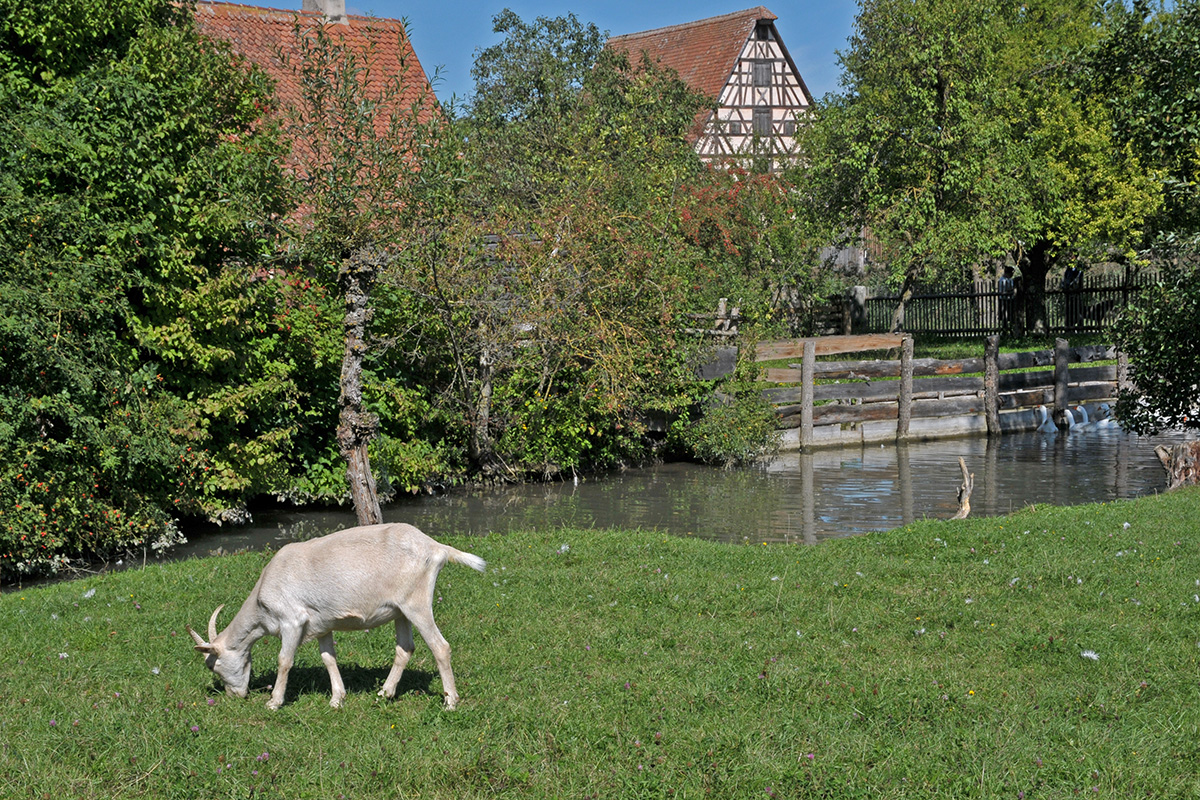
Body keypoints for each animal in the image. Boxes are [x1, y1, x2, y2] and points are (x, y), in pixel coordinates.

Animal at [186, 522, 482, 710]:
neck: (261, 600)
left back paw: (450, 702)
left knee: (440, 646)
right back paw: (385, 693)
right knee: (405, 648)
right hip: (401, 610)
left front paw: (274, 702)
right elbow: (328, 658)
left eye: (214, 666)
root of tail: (436, 547)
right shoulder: (322, 623)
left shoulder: (292, 619)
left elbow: (284, 660)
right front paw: (337, 699)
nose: (235, 696)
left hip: (417, 603)